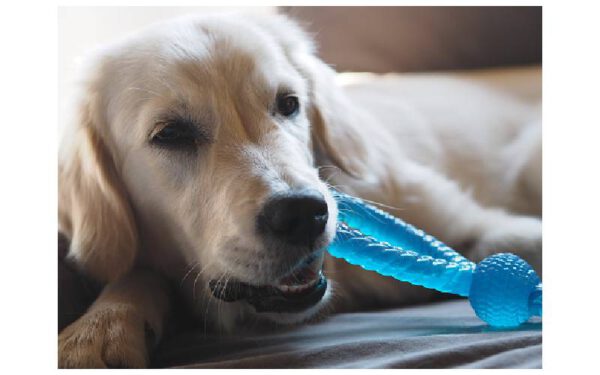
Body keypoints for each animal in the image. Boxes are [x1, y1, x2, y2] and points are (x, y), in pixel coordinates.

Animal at [57, 12, 544, 370]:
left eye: (288, 104)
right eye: (171, 134)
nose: (302, 214)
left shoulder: (476, 226)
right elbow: (135, 274)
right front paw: (100, 326)